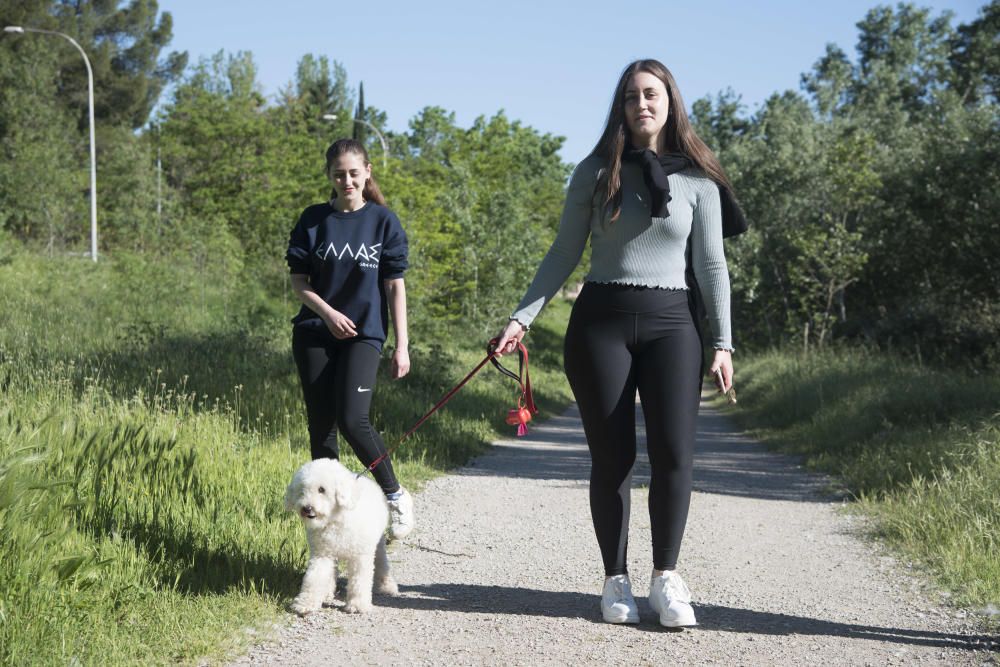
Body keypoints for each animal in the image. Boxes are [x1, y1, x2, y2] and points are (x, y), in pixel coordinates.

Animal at [284, 460, 396, 616]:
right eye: (302, 489)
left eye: (321, 489)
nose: (307, 508)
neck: (336, 520)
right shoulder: (322, 554)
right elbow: (314, 578)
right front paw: (305, 604)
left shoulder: (360, 556)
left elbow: (359, 581)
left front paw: (357, 605)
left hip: (377, 545)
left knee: (381, 563)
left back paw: (387, 586)